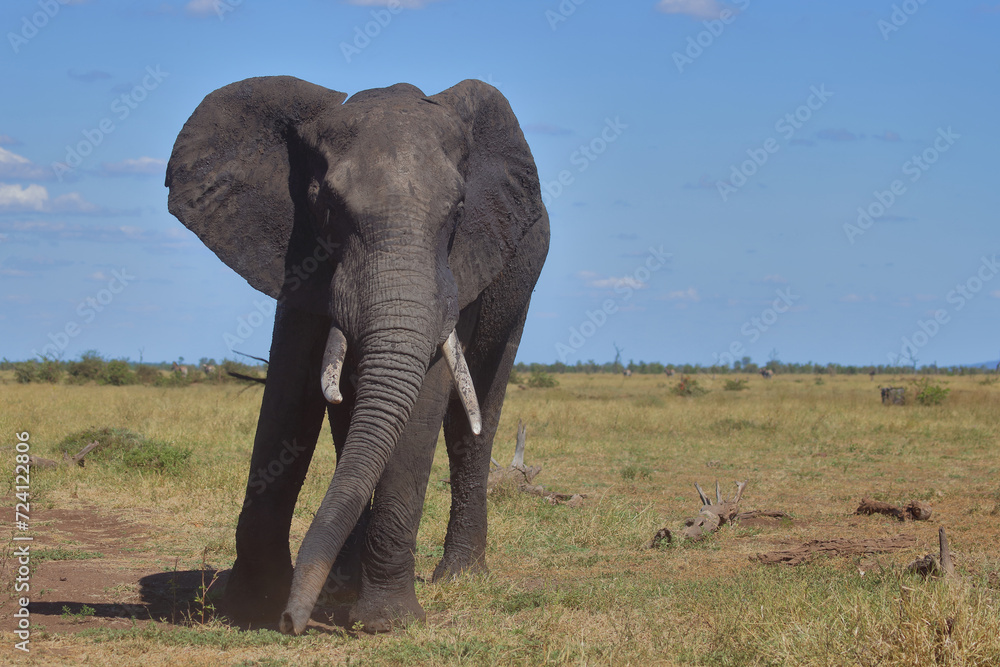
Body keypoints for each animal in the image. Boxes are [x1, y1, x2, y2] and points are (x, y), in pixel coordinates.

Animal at [165, 76, 549, 634]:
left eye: (458, 210)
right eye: (328, 207)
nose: (293, 622)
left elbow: (423, 402)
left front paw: (388, 623)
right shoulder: (296, 251)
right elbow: (290, 389)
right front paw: (253, 605)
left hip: (520, 275)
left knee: (476, 407)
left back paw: (459, 577)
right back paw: (343, 582)